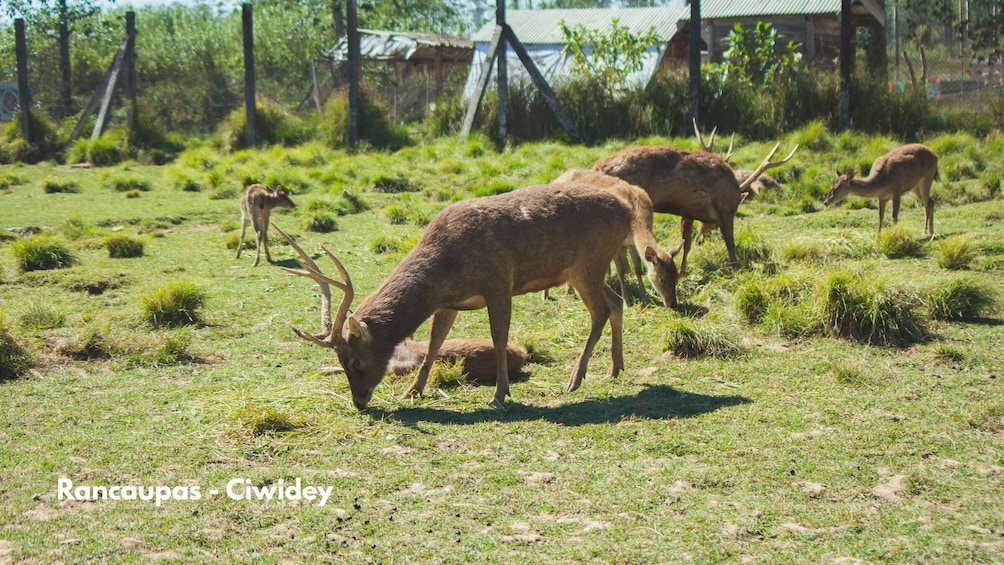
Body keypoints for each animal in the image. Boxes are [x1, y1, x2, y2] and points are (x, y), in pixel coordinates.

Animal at [273, 176, 678, 410]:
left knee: (601, 311)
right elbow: (434, 345)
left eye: (355, 362)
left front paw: (500, 393)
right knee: (616, 302)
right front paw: (413, 391)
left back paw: (575, 378)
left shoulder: (499, 282)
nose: (359, 402)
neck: (445, 268)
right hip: (583, 270)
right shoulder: (449, 303)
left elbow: (500, 337)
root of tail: (626, 208)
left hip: (587, 264)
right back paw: (615, 367)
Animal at [593, 138, 798, 277]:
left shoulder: (688, 211)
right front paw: (736, 268)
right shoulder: (726, 208)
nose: (704, 232)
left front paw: (682, 270)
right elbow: (730, 243)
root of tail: (597, 166)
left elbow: (687, 242)